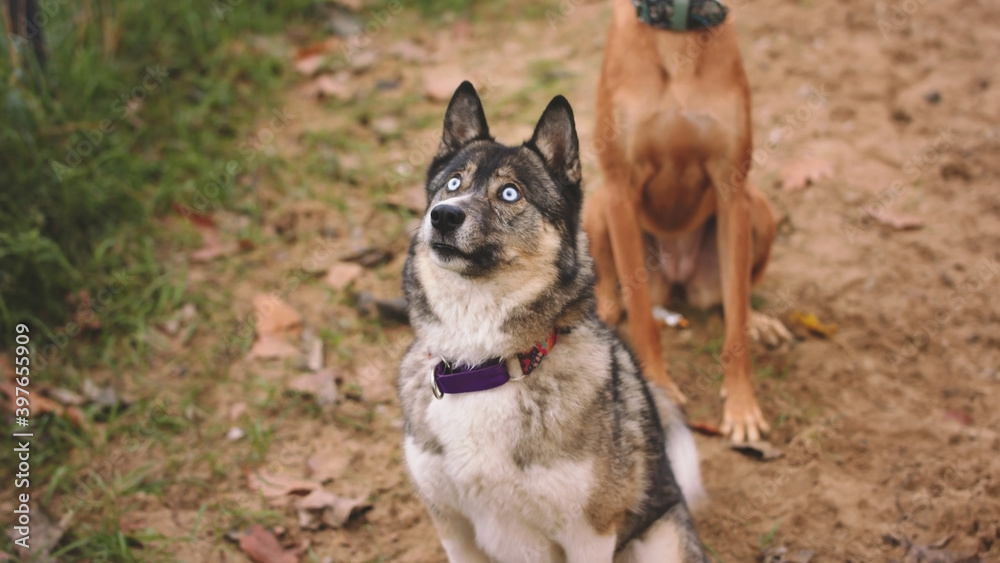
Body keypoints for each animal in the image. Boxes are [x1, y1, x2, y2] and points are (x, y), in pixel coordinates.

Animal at [398, 80, 712, 563]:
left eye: (510, 193)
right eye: (452, 183)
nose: (444, 214)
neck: (482, 365)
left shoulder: (589, 533)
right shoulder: (451, 524)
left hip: (659, 543)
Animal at [584, 0, 788, 442]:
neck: (676, 37)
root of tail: (678, 278)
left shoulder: (732, 192)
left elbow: (735, 323)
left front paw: (742, 407)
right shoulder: (621, 190)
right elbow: (642, 316)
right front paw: (657, 389)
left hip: (759, 208)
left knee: (734, 297)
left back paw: (760, 321)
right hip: (597, 204)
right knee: (609, 281)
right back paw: (603, 309)